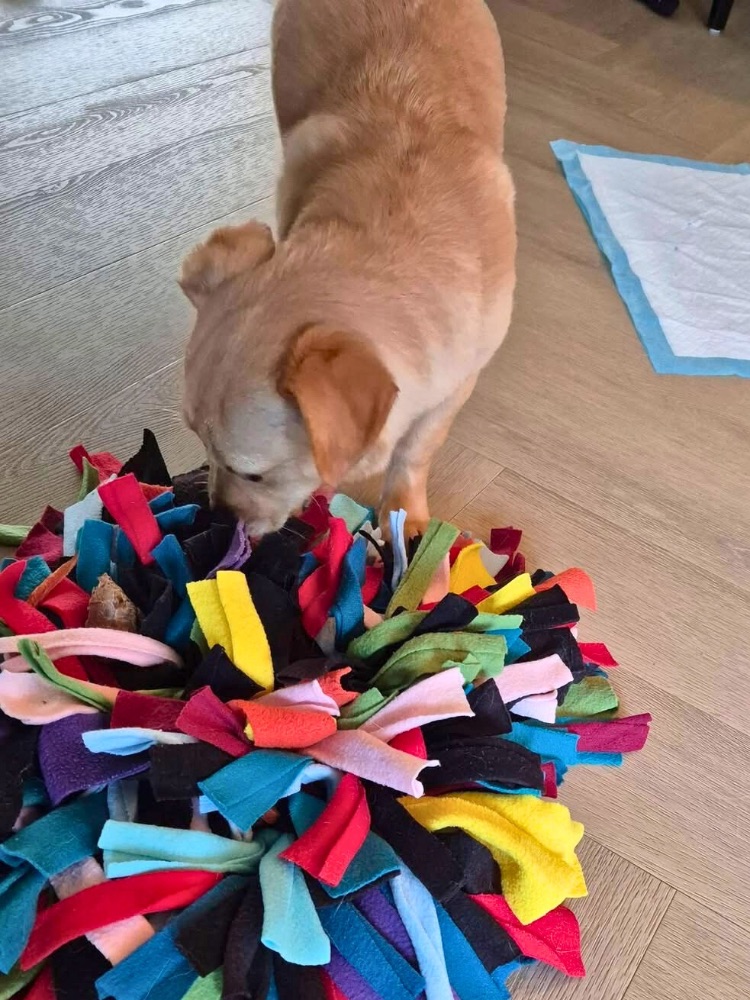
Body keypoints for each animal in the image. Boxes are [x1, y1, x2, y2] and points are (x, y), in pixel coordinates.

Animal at [181, 0, 516, 538]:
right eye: (197, 443)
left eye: (254, 474)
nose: (217, 518)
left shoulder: (455, 386)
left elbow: (415, 452)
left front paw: (406, 517)